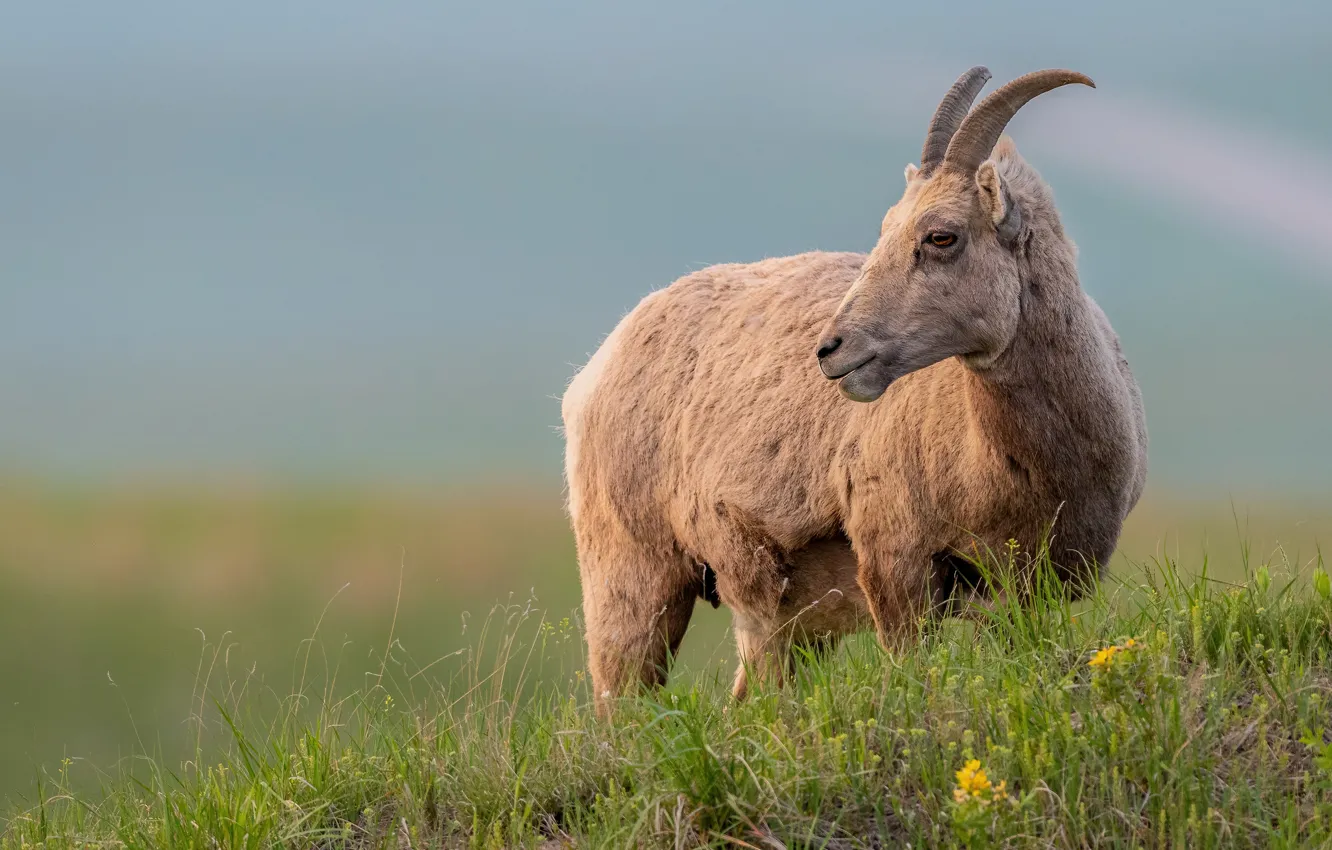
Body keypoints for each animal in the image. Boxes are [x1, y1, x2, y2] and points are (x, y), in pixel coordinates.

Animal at [562, 67, 1148, 712]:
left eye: (941, 236)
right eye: (886, 228)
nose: (832, 351)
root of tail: (592, 374)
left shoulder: (1035, 590)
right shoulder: (897, 567)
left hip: (782, 624)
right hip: (636, 583)